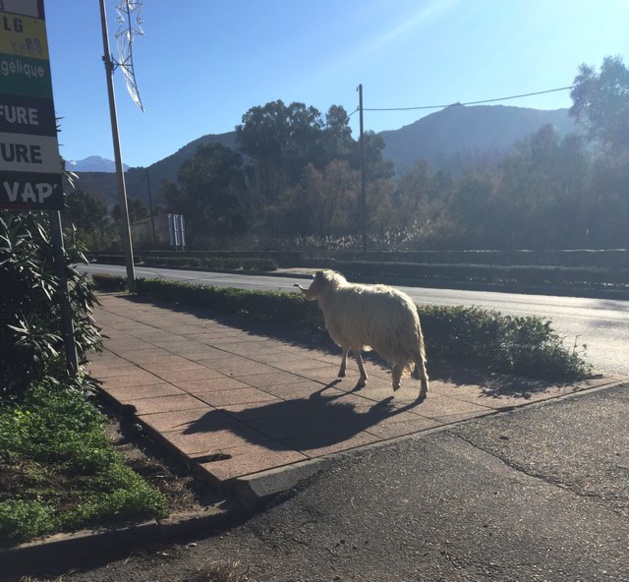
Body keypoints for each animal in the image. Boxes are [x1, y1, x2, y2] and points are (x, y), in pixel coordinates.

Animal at [294, 272, 426, 400]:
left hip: (388, 339)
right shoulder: (348, 334)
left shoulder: (351, 335)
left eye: (316, 281)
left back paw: (396, 380)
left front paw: (362, 378)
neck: (332, 294)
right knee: (419, 361)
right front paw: (342, 371)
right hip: (411, 337)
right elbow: (346, 351)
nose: (297, 285)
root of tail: (405, 309)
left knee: (403, 358)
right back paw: (423, 391)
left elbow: (357, 357)